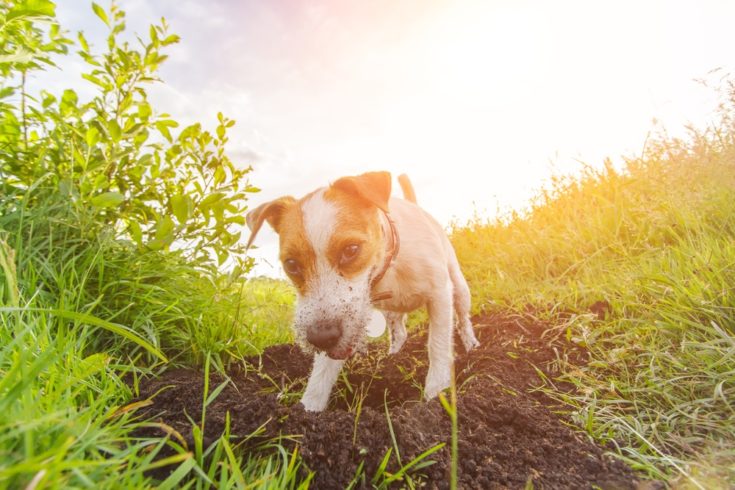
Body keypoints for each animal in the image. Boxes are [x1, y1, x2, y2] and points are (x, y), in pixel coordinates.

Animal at [244, 170, 480, 412]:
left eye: (351, 250)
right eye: (291, 264)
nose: (321, 338)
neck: (388, 264)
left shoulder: (439, 294)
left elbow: (438, 345)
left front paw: (436, 392)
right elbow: (322, 371)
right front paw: (309, 407)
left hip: (460, 289)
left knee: (462, 319)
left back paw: (471, 345)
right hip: (390, 313)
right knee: (399, 332)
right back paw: (393, 356)